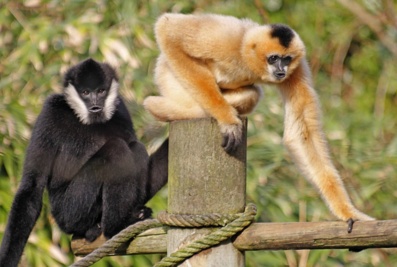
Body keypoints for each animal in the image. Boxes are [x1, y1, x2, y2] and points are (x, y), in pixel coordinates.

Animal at [144, 13, 372, 230]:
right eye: (273, 58)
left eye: (286, 59)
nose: (280, 70)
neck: (248, 60)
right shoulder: (226, 39)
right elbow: (167, 29)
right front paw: (227, 120)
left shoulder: (296, 69)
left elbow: (302, 134)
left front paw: (347, 212)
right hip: (168, 74)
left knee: (252, 94)